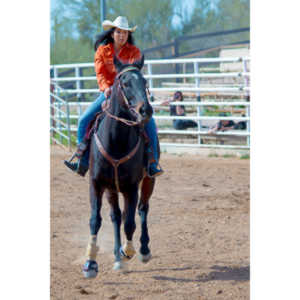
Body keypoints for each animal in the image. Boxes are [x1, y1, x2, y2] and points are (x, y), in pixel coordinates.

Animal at [82, 55, 157, 278]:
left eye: (145, 81)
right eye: (124, 83)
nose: (145, 110)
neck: (115, 140)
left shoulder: (131, 187)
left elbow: (130, 223)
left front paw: (128, 250)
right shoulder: (96, 183)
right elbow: (95, 220)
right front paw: (90, 262)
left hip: (149, 180)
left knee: (142, 209)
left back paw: (142, 250)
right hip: (111, 188)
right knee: (115, 217)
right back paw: (117, 258)